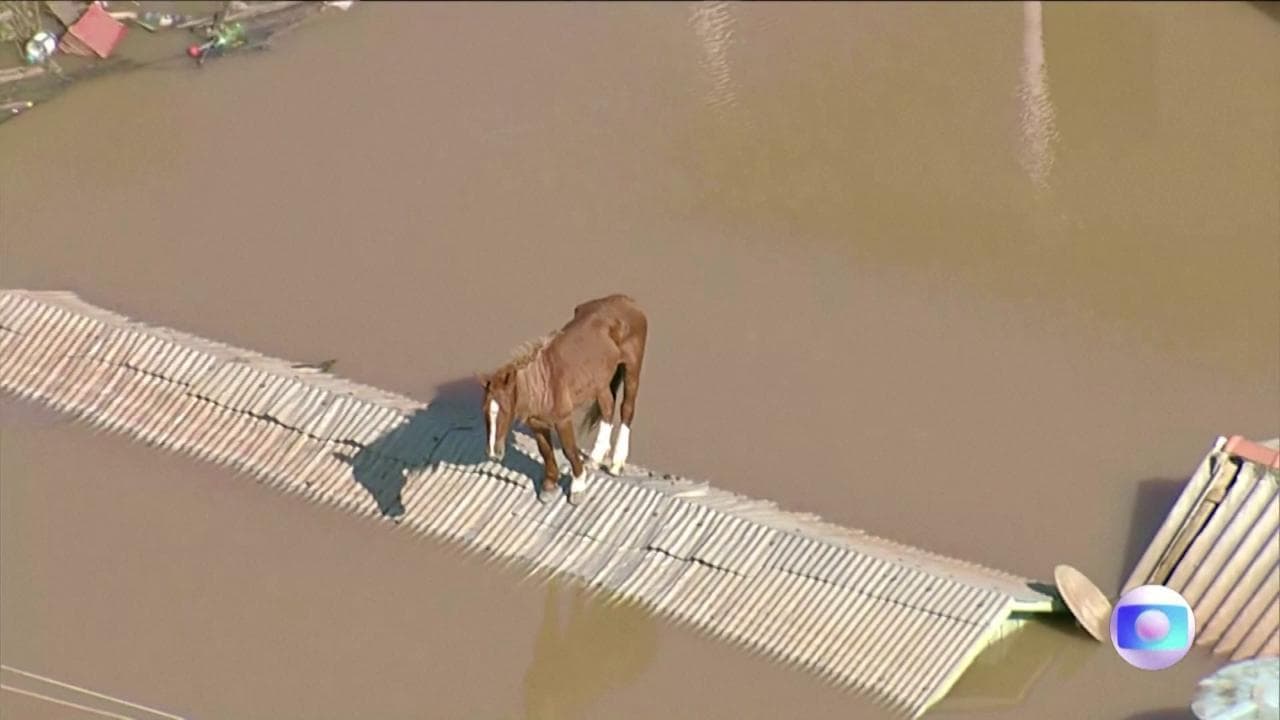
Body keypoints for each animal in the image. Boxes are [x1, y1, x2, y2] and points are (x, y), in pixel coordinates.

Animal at [480, 294, 648, 505]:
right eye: (484, 411)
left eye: (505, 410)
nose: (494, 454)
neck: (543, 383)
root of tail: (628, 301)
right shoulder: (537, 423)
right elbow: (545, 451)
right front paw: (549, 487)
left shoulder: (562, 420)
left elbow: (569, 450)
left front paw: (578, 488)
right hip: (600, 383)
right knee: (607, 408)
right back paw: (595, 458)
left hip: (632, 367)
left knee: (627, 408)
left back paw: (616, 464)